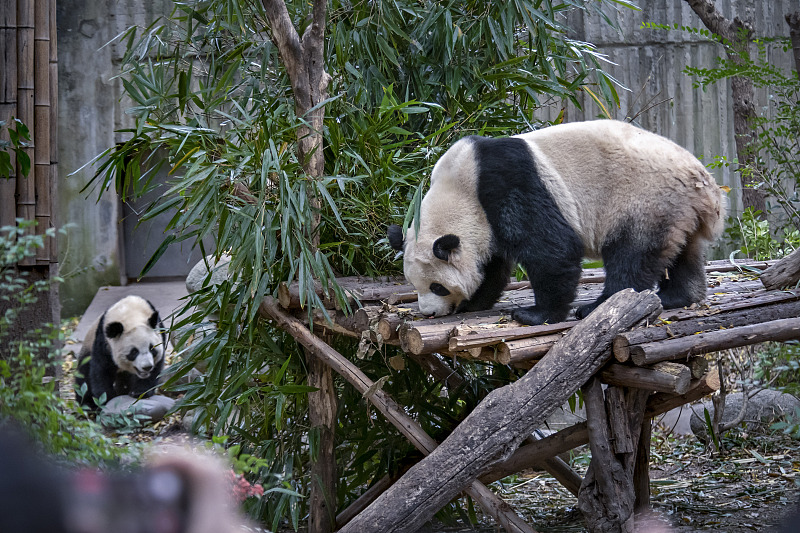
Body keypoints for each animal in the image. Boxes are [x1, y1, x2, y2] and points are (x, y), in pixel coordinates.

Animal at [388, 119, 726, 326]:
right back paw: (677, 296)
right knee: (682, 251)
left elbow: (551, 249)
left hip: (645, 198)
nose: (429, 312)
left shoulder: (509, 182)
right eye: (414, 285)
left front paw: (535, 314)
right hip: (676, 208)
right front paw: (474, 302)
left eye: (438, 286)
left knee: (632, 255)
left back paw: (600, 306)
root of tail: (706, 186)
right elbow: (492, 266)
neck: (459, 188)